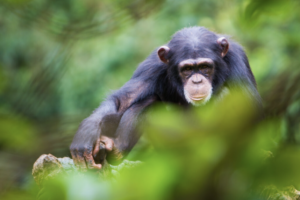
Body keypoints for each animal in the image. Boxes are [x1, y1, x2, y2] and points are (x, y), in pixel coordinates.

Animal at [69, 26, 262, 170]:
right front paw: (87, 130)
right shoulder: (152, 65)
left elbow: (251, 111)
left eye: (205, 67)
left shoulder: (237, 60)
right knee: (150, 103)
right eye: (187, 69)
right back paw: (115, 148)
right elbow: (124, 99)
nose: (197, 80)